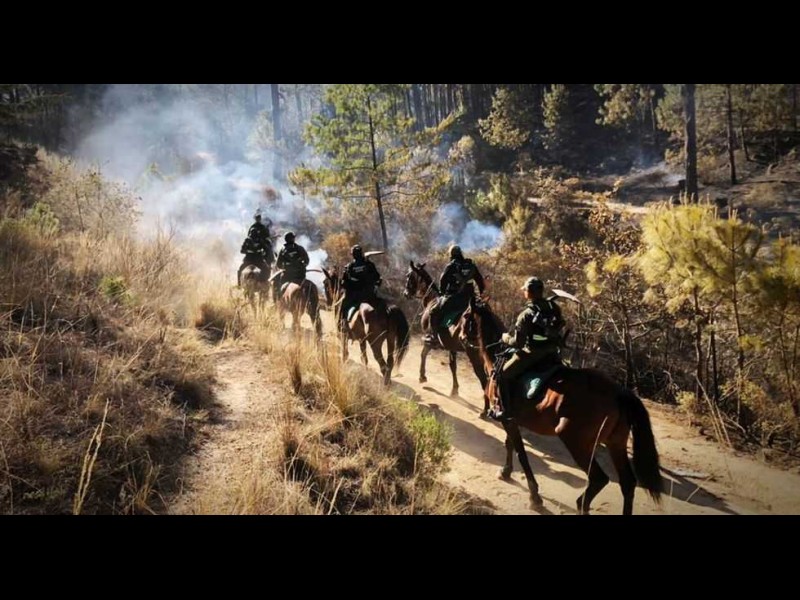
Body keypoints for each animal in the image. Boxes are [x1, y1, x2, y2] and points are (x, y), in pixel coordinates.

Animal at [403, 260, 489, 403]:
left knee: (484, 377)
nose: (405, 293)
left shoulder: (429, 339)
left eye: (409, 276)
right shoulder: (451, 346)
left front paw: (422, 376)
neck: (431, 299)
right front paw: (454, 390)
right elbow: (453, 366)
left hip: (474, 353)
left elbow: (423, 354)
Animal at [457, 296, 663, 515]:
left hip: (577, 442)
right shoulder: (510, 419)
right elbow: (509, 444)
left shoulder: (508, 419)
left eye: (465, 316)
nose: (460, 336)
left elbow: (521, 453)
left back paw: (581, 503)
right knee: (627, 484)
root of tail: (618, 393)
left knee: (599, 479)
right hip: (616, 443)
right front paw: (506, 472)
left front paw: (534, 496)